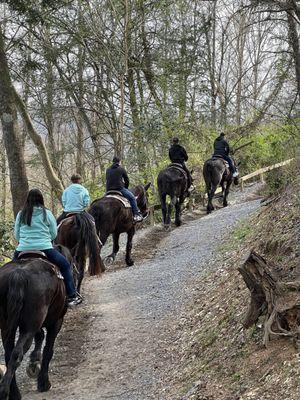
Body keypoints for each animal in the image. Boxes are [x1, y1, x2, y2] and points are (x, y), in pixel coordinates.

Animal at [0, 253, 68, 400]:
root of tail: (18, 274)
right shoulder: (56, 322)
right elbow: (48, 350)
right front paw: (44, 383)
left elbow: (40, 336)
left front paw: (34, 360)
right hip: (29, 327)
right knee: (16, 354)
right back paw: (5, 391)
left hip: (7, 327)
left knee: (9, 354)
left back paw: (14, 392)